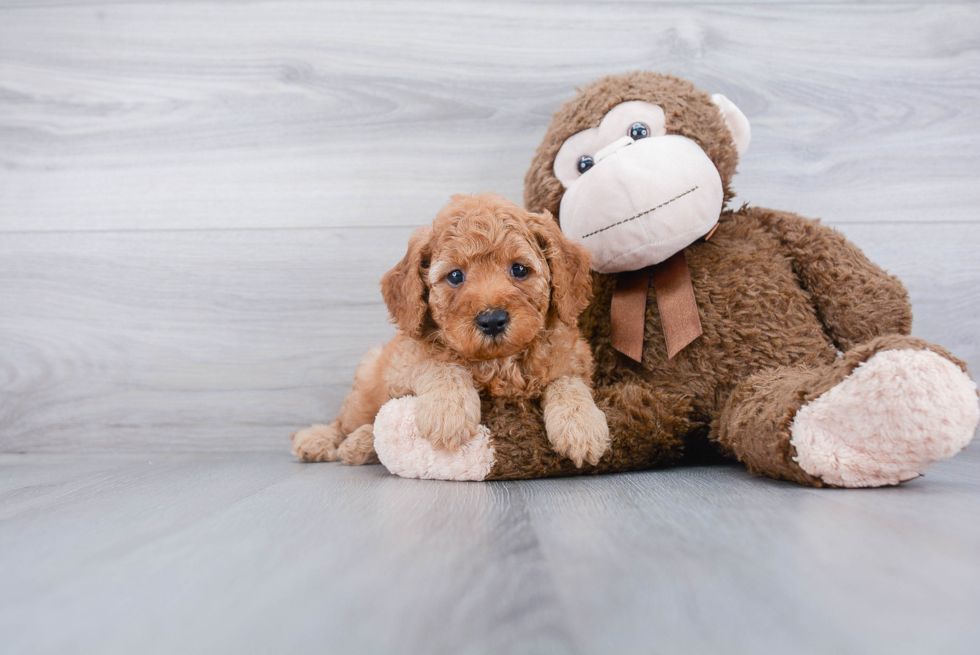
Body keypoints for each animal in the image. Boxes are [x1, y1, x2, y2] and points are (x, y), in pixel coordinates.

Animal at [292, 192, 612, 468]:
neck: (497, 364)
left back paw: (356, 444)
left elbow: (567, 383)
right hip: (366, 384)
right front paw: (448, 413)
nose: (492, 320)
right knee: (348, 421)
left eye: (520, 269)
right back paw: (319, 439)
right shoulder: (403, 364)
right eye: (455, 276)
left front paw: (582, 426)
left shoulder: (574, 361)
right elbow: (439, 364)